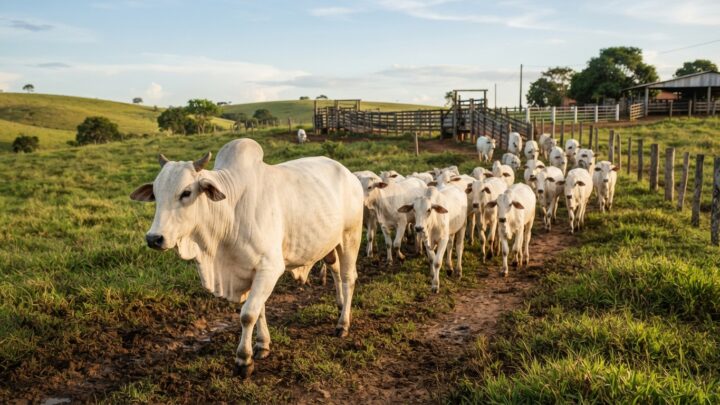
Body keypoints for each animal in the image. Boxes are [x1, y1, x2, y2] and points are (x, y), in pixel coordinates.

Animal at [129, 138, 364, 378]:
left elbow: (248, 314)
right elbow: (259, 309)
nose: (154, 238)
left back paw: (343, 324)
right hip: (331, 244)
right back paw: (340, 305)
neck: (229, 214)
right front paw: (262, 345)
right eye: (156, 194)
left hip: (351, 236)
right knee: (336, 271)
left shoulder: (269, 268)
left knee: (349, 278)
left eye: (186, 192)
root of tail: (348, 174)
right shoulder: (248, 271)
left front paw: (243, 360)